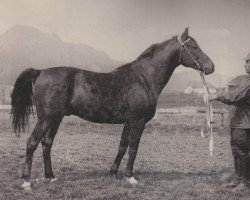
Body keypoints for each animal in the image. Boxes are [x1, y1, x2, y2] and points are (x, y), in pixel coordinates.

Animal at [11, 27, 215, 190]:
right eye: (193, 47)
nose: (211, 67)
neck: (143, 78)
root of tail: (40, 72)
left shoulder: (128, 121)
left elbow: (122, 146)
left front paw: (114, 172)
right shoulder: (138, 121)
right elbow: (133, 148)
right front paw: (130, 177)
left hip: (56, 118)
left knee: (47, 143)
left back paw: (50, 177)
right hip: (46, 117)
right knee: (32, 142)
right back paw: (27, 182)